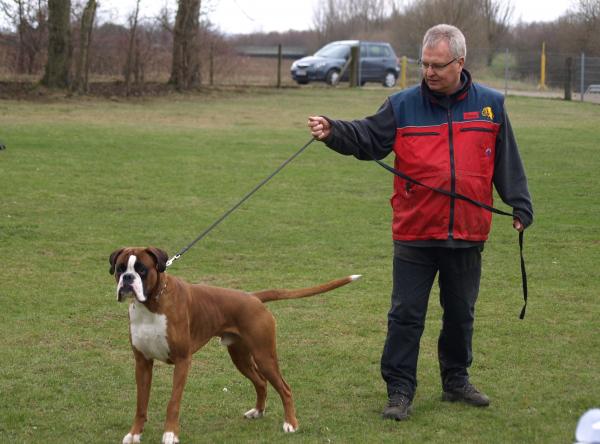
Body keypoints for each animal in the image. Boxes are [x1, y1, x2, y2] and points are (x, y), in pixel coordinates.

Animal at [109, 246, 360, 444]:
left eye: (142, 269)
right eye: (120, 268)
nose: (127, 279)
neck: (151, 304)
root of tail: (253, 297)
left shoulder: (182, 361)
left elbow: (173, 402)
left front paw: (170, 434)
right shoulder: (142, 364)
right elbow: (141, 404)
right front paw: (134, 434)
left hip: (264, 356)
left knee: (284, 387)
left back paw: (291, 423)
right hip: (241, 358)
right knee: (261, 383)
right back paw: (258, 412)